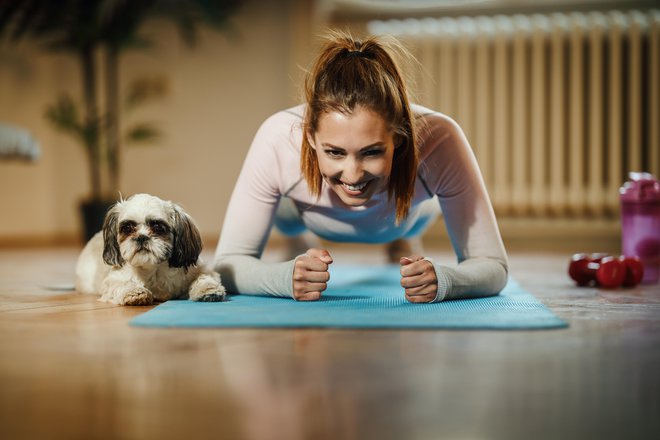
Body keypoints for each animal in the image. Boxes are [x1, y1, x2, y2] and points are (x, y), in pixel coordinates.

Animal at [75, 193, 227, 306]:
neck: (154, 269)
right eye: (127, 228)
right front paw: (135, 292)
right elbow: (123, 283)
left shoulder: (200, 270)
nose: (141, 237)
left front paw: (208, 290)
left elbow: (204, 277)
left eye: (158, 227)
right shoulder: (113, 280)